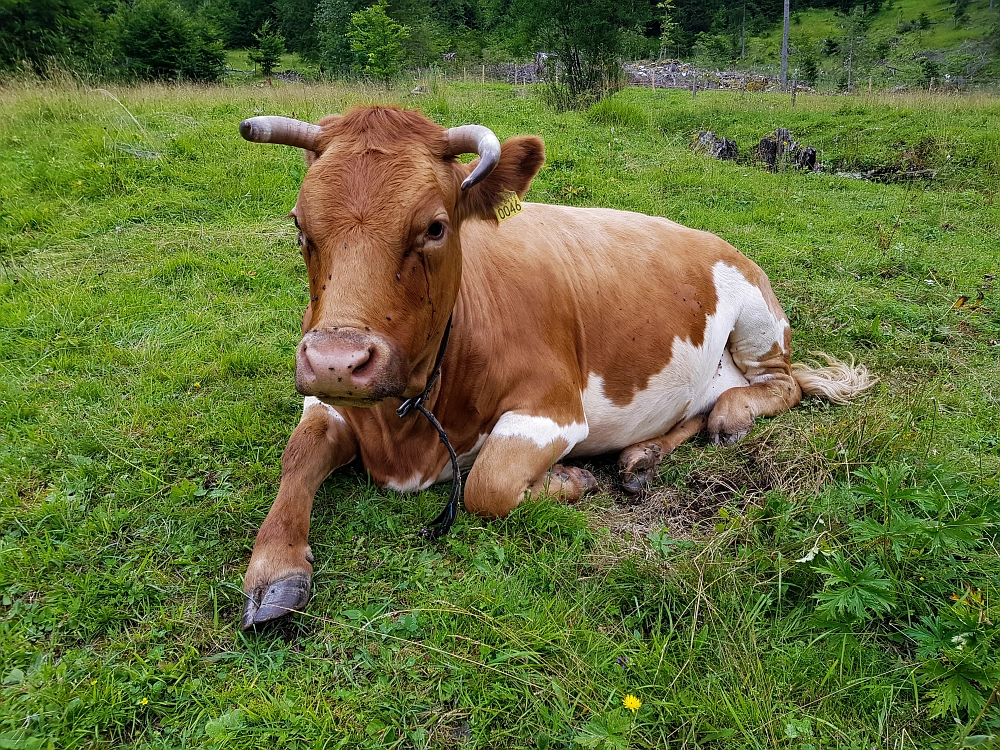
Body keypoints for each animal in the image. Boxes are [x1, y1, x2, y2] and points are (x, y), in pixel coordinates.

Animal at [238, 106, 872, 632]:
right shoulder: (328, 402)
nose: (337, 362)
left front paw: (569, 480)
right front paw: (273, 570)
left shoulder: (555, 409)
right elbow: (298, 457)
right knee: (699, 406)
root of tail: (712, 237)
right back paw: (641, 458)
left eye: (435, 227)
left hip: (758, 321)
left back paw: (730, 418)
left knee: (780, 384)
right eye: (299, 225)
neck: (404, 433)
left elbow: (487, 484)